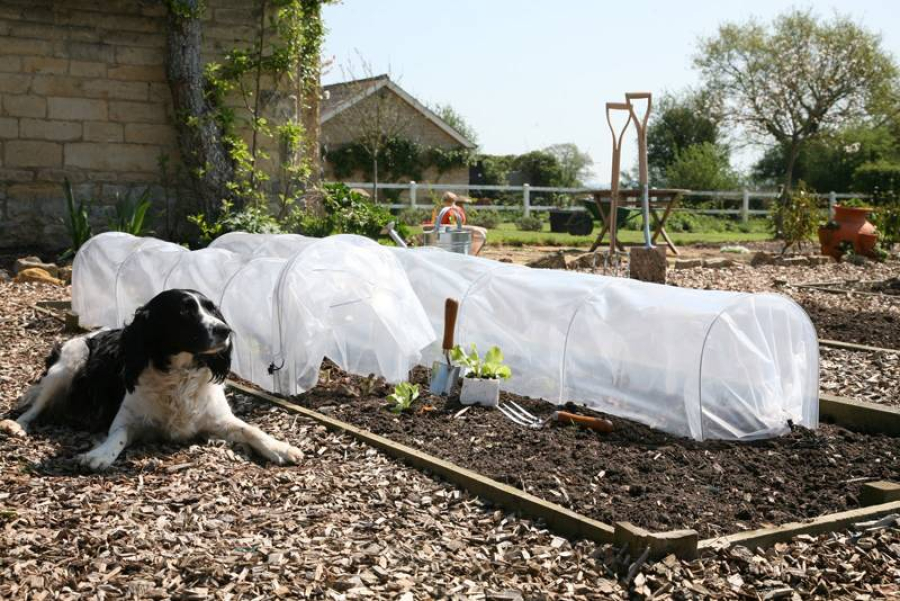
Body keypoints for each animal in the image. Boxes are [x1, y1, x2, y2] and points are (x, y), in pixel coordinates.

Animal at [0, 290, 304, 468]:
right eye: (184, 311)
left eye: (212, 309)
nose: (225, 330)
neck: (178, 375)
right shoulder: (127, 420)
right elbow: (118, 436)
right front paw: (99, 454)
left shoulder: (218, 419)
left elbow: (250, 429)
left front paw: (280, 447)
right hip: (65, 368)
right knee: (32, 409)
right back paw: (17, 426)